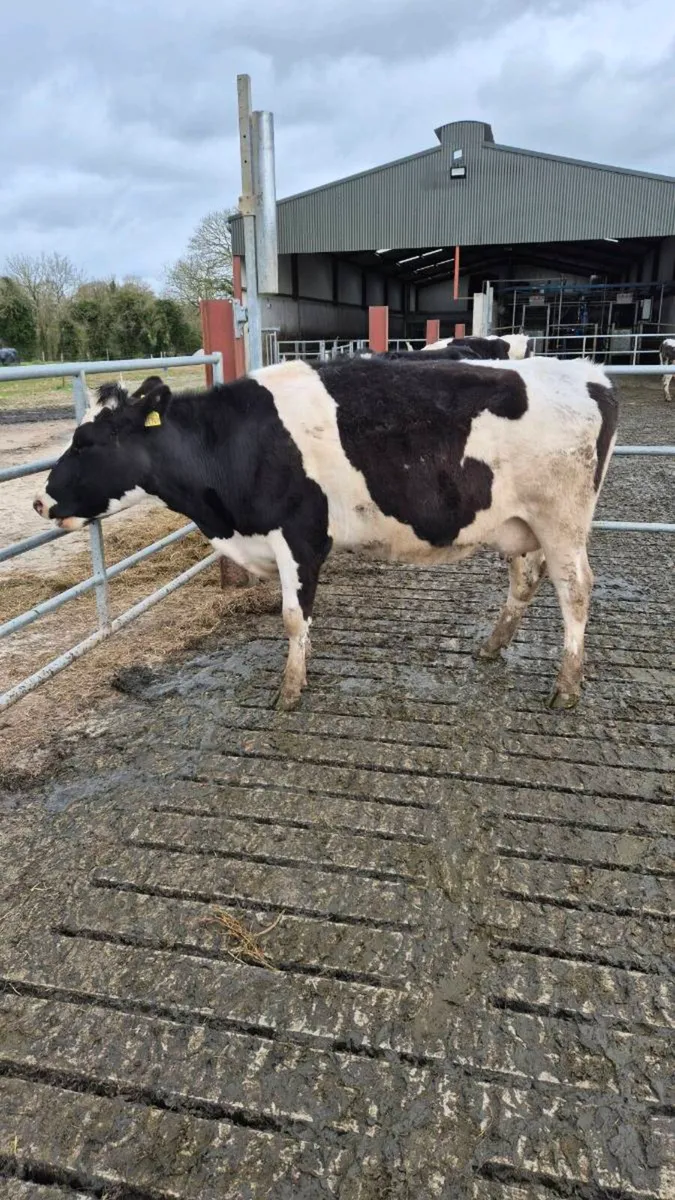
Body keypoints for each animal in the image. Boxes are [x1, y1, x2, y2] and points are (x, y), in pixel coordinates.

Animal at [33, 355, 618, 712]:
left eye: (85, 442)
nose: (40, 500)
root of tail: (589, 374)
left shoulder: (299, 535)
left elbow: (294, 616)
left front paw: (290, 690)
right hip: (519, 524)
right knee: (527, 580)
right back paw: (493, 647)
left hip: (562, 521)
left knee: (576, 592)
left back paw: (566, 686)